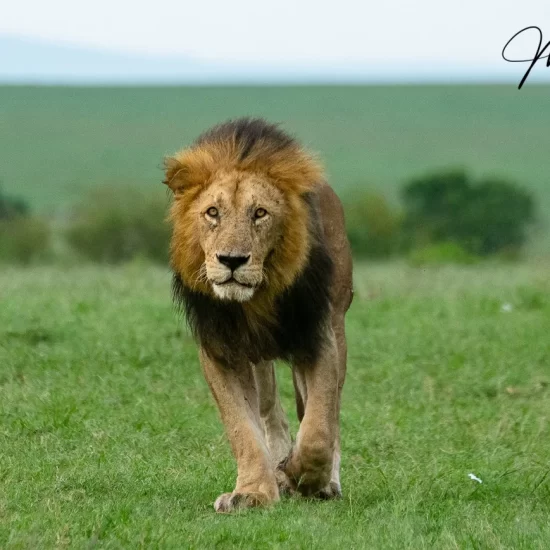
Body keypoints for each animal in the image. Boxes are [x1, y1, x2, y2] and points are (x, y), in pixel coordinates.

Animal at [164, 118, 354, 516]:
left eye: (260, 213)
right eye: (213, 212)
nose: (232, 260)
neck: (254, 302)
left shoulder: (317, 334)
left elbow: (318, 429)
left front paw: (301, 476)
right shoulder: (219, 350)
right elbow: (241, 427)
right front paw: (253, 492)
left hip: (338, 322)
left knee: (328, 413)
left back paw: (323, 480)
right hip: (258, 358)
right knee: (270, 411)